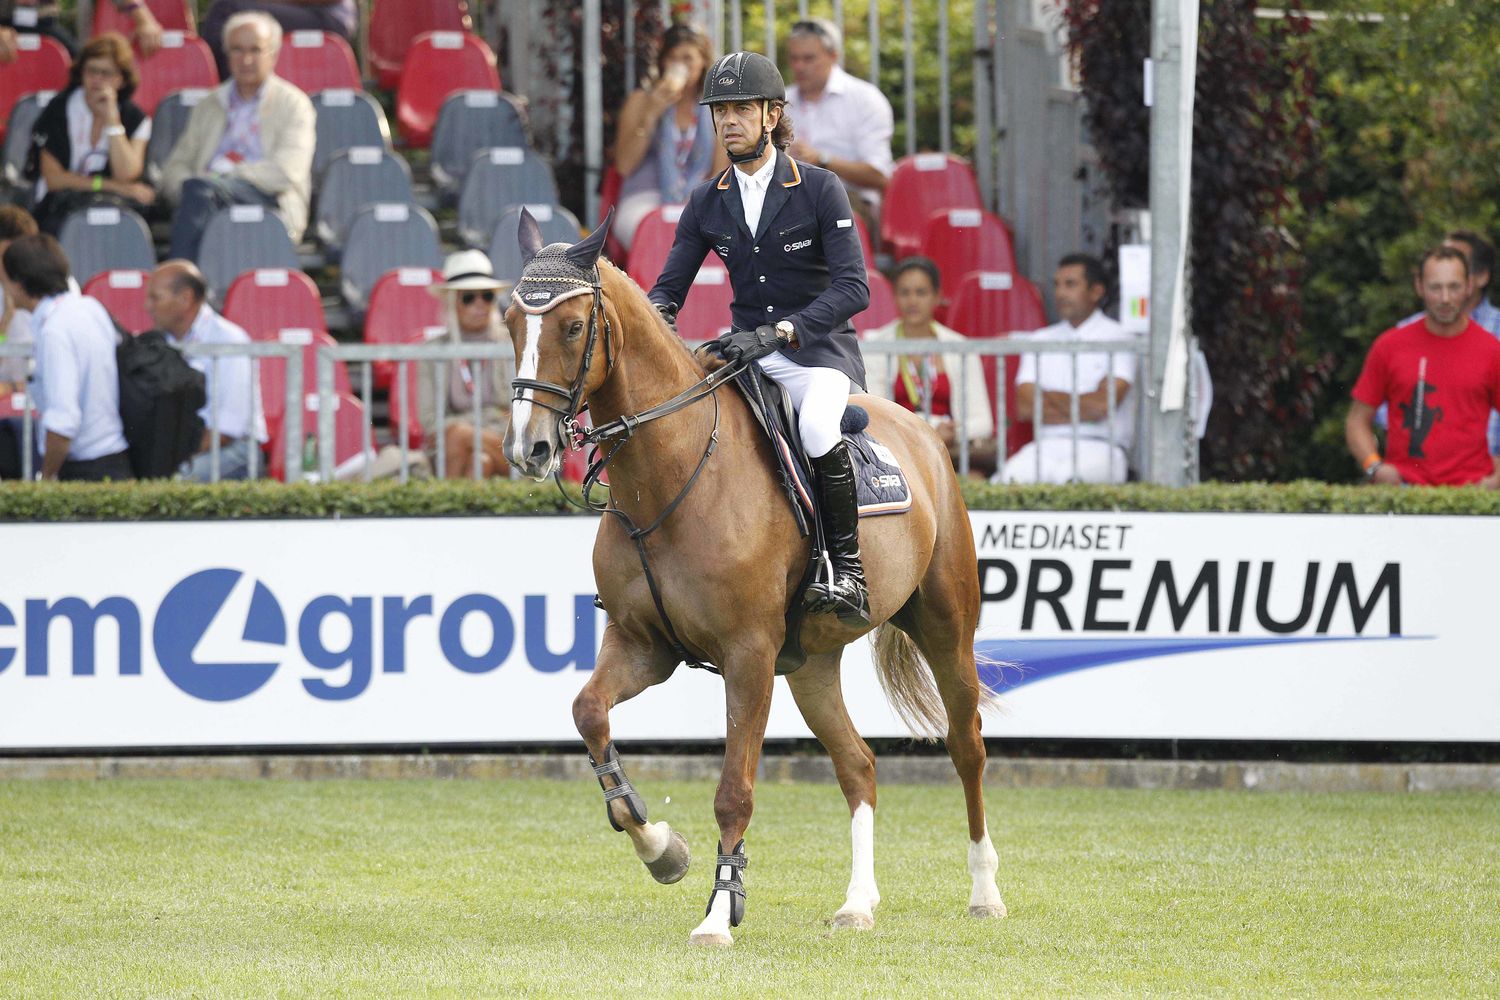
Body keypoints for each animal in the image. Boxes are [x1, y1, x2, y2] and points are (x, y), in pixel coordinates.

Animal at [502, 210, 1005, 947]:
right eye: (512, 323)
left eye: (570, 326)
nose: (528, 448)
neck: (671, 473)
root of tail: (919, 432)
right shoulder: (643, 644)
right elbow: (589, 712)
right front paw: (661, 849)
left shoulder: (746, 656)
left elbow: (733, 791)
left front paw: (719, 913)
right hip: (811, 664)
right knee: (858, 764)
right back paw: (858, 904)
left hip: (945, 626)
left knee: (967, 747)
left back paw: (984, 892)